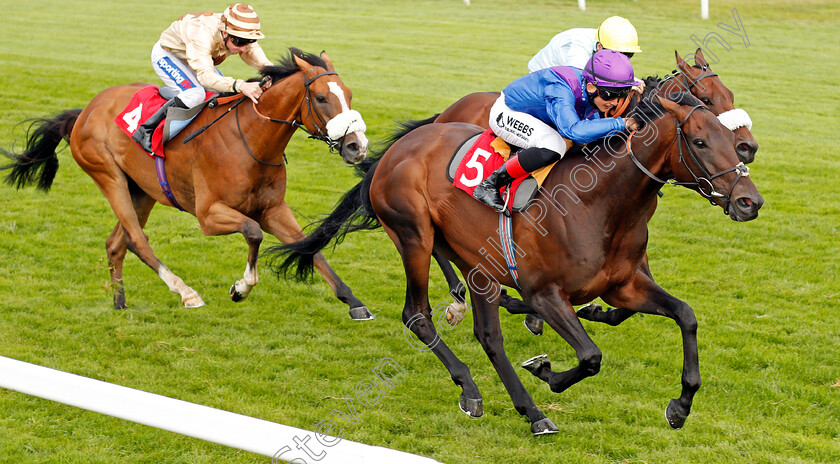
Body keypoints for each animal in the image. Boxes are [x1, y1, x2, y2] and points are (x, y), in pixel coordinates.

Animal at [0, 49, 374, 320]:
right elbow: (253, 232)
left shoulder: (273, 209)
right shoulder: (208, 215)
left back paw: (120, 302)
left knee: (118, 242)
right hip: (108, 176)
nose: (357, 146)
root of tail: (85, 111)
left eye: (350, 95)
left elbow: (310, 246)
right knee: (138, 239)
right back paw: (186, 293)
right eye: (322, 99)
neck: (252, 140)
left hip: (142, 190)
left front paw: (354, 302)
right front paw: (241, 287)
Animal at [268, 88, 760, 436]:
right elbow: (590, 356)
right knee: (416, 315)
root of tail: (398, 149)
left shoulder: (624, 285)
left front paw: (680, 406)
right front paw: (546, 371)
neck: (600, 204)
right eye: (699, 141)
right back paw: (474, 387)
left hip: (477, 263)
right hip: (414, 236)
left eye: (731, 141)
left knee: (488, 336)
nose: (749, 201)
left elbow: (686, 315)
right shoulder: (544, 293)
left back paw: (528, 410)